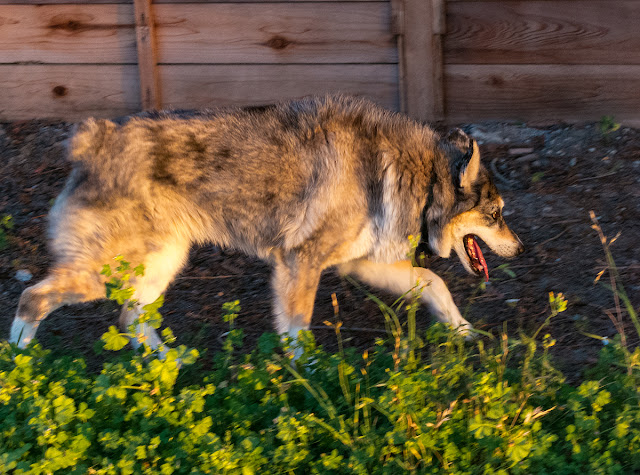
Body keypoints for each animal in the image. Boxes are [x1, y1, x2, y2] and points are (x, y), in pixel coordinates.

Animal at [9, 95, 523, 352]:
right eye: (497, 215)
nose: (519, 248)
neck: (418, 175)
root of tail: (93, 140)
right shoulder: (300, 263)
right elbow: (298, 333)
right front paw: (310, 383)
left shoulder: (360, 265)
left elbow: (436, 284)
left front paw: (464, 332)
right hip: (103, 273)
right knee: (32, 298)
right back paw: (21, 367)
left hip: (159, 265)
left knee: (129, 317)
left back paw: (169, 363)